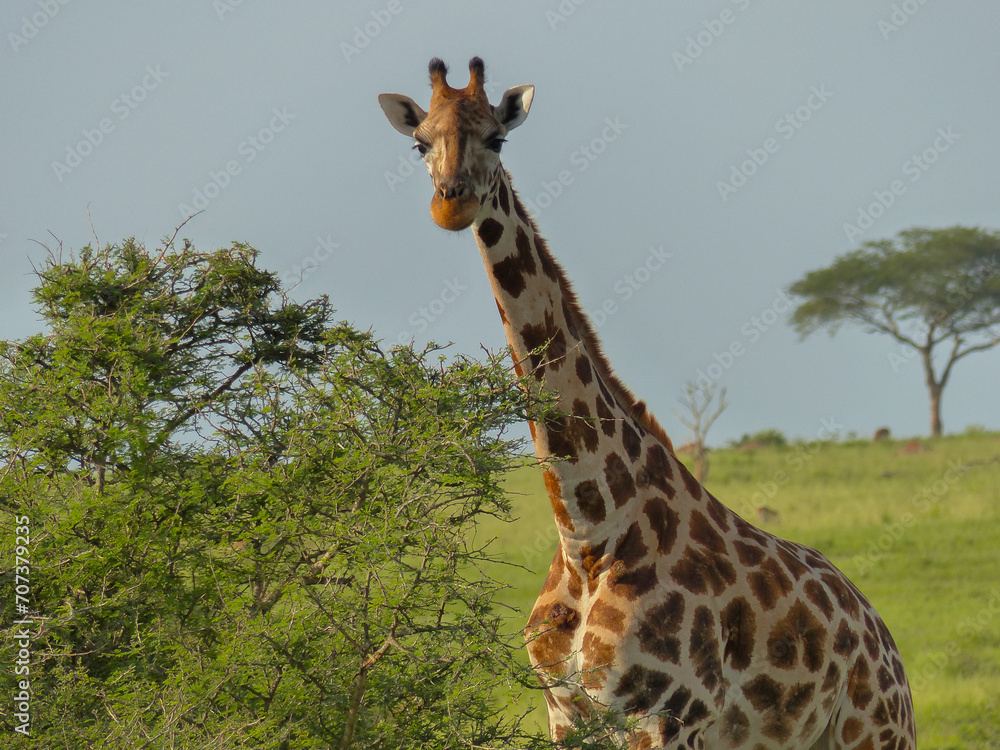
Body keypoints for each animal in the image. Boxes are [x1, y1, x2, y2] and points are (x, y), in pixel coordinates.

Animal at [378, 58, 916, 750]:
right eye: (420, 144)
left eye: (497, 138)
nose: (452, 202)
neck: (589, 535)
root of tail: (883, 638)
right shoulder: (564, 713)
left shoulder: (665, 716)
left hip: (873, 732)